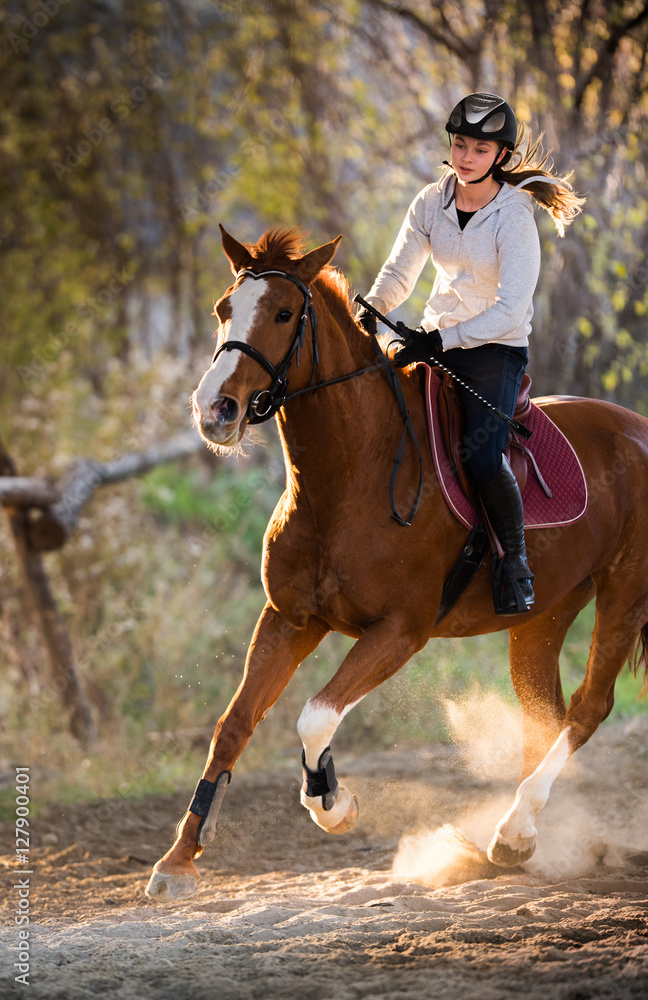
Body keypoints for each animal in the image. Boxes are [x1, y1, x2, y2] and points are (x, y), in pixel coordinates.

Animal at [145, 225, 648, 899]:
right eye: (225, 309)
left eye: (283, 314)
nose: (215, 409)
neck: (347, 477)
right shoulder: (289, 620)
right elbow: (234, 723)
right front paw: (178, 861)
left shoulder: (400, 632)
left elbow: (314, 716)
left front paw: (333, 803)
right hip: (543, 616)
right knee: (545, 713)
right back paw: (515, 842)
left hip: (625, 592)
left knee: (591, 706)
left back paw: (512, 831)